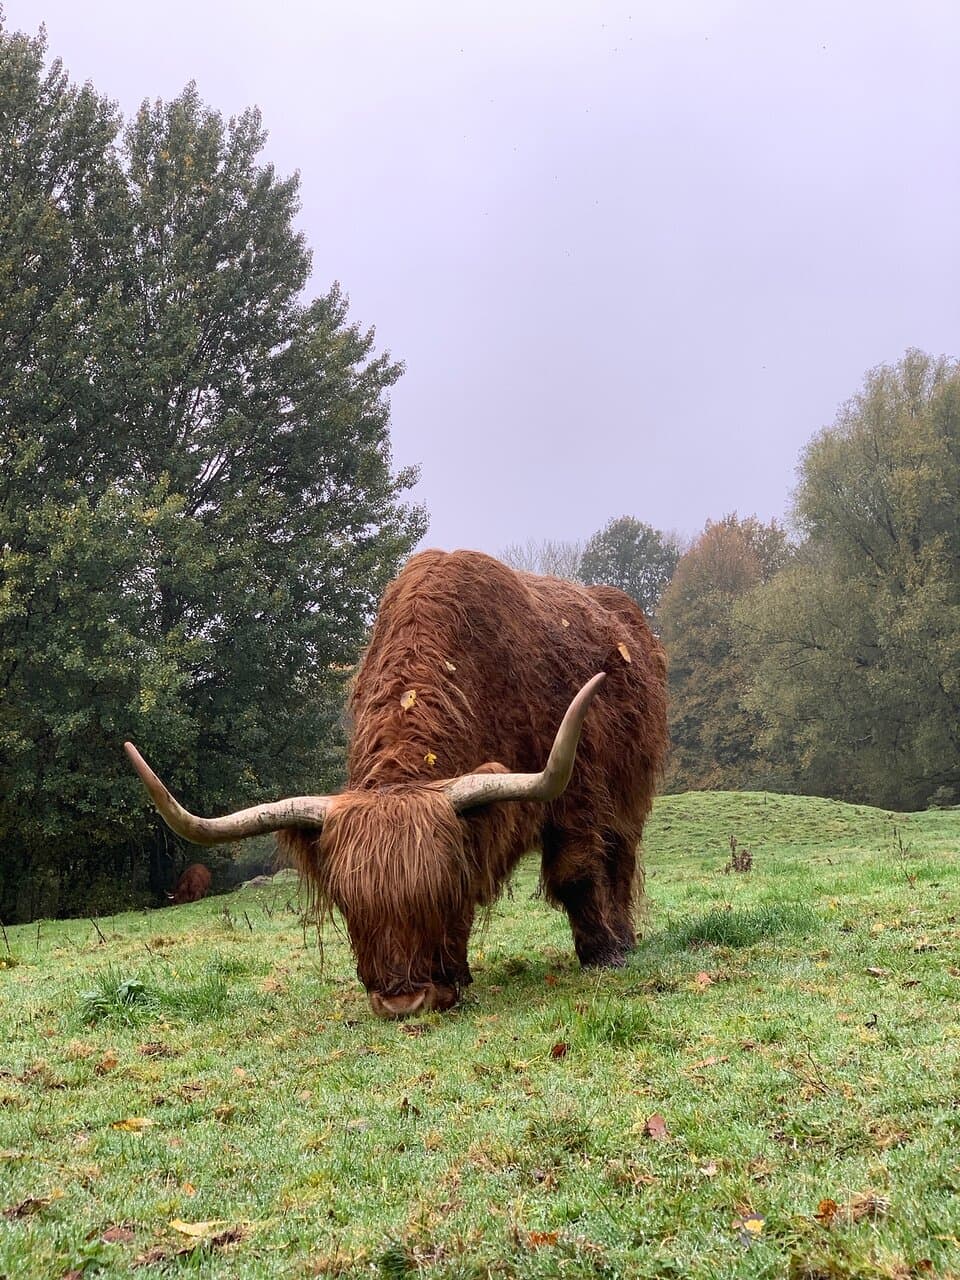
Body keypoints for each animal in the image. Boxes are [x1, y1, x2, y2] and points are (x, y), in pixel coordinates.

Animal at [125, 549, 668, 1017]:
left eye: (447, 889)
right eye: (348, 903)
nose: (402, 1003)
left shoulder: (577, 793)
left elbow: (577, 873)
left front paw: (602, 953)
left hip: (628, 797)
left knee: (618, 860)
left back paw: (623, 937)